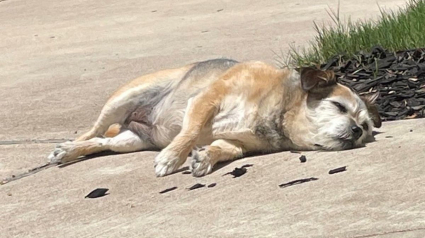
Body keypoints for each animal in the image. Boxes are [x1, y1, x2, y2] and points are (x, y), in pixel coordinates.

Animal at [47, 58, 380, 177]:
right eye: (339, 106)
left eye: (364, 127)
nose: (355, 132)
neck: (277, 111)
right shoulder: (206, 101)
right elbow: (192, 130)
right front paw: (173, 158)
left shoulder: (238, 143)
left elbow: (222, 148)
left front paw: (204, 158)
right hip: (123, 99)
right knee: (93, 132)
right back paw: (67, 148)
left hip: (132, 141)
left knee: (103, 142)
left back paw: (72, 151)